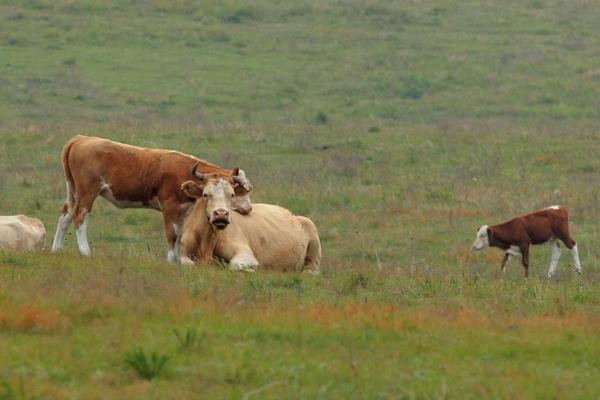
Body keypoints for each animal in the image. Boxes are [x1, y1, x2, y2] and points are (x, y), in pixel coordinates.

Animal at [48, 134, 251, 262]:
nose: (249, 208)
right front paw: (172, 260)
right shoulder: (169, 207)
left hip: (73, 191)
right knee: (80, 217)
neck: (184, 171)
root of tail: (81, 139)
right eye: (240, 191)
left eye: (231, 193)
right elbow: (172, 235)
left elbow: (180, 235)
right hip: (87, 193)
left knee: (65, 214)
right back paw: (85, 252)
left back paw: (56, 249)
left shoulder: (182, 211)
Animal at [178, 170, 322, 274]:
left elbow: (234, 265)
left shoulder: (245, 253)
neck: (206, 244)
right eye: (205, 194)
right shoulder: (183, 254)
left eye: (232, 195)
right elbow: (187, 263)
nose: (221, 214)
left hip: (312, 240)